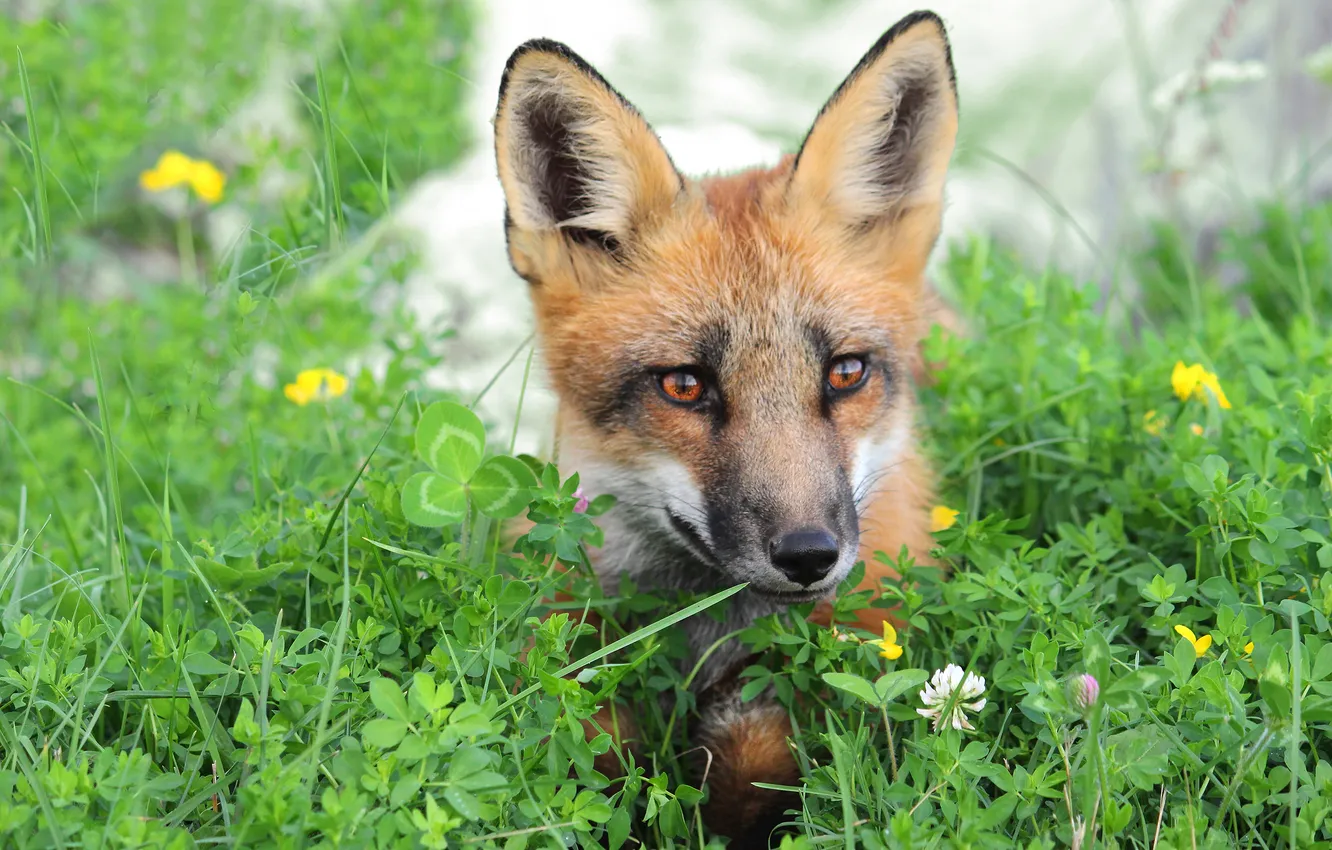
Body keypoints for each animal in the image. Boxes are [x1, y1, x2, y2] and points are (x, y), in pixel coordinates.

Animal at [493, 9, 958, 846]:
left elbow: (763, 756)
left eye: (845, 372)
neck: (710, 643)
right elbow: (593, 752)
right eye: (685, 385)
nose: (809, 555)